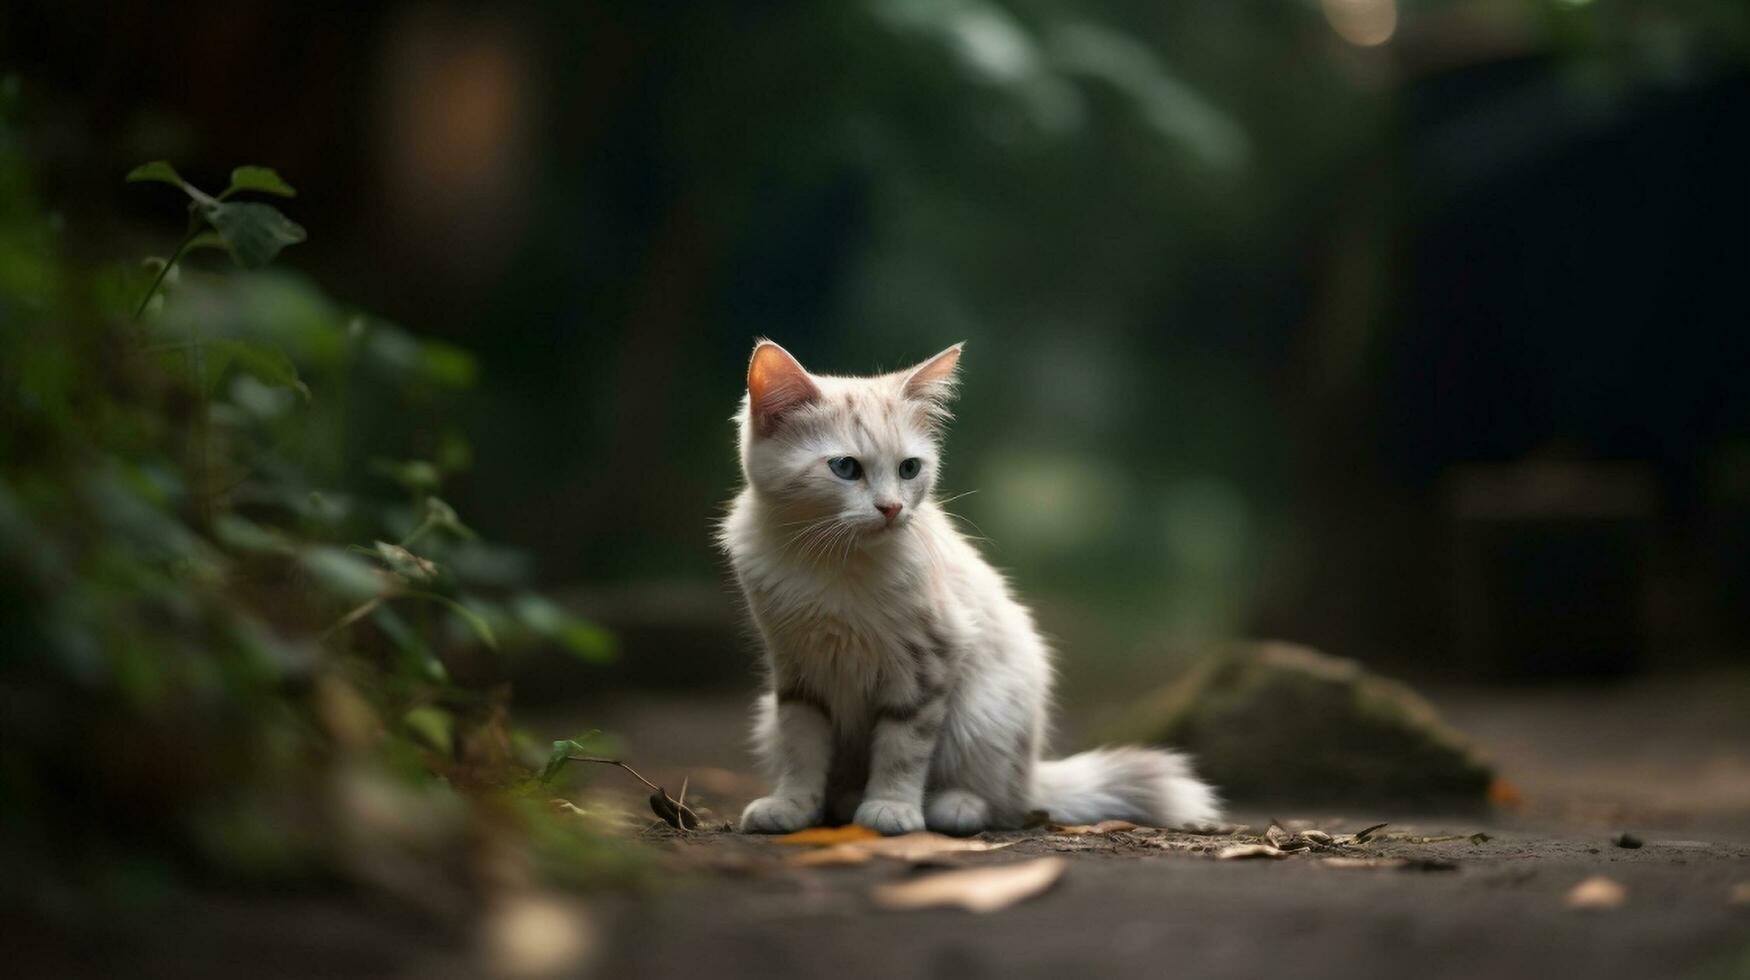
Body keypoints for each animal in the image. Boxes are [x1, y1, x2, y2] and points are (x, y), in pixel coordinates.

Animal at [714, 339, 1218, 833]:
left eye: (909, 469)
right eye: (845, 468)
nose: (892, 508)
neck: (832, 563)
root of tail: (1030, 774)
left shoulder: (929, 660)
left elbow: (903, 748)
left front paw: (892, 808)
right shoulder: (795, 668)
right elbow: (801, 747)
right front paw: (793, 805)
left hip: (984, 713)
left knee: (999, 803)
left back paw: (949, 807)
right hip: (768, 714)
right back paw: (844, 801)